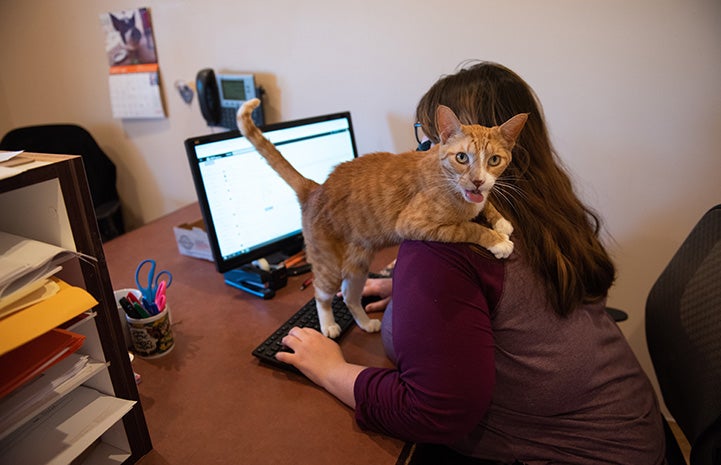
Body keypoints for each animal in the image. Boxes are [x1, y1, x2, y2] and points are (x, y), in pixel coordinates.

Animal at [239, 99, 524, 338]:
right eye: (462, 157)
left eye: (494, 160)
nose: (477, 181)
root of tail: (315, 188)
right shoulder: (415, 224)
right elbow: (468, 228)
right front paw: (498, 241)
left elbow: (485, 204)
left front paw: (500, 221)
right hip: (329, 264)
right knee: (321, 293)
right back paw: (329, 325)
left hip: (357, 265)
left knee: (349, 297)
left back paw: (365, 323)